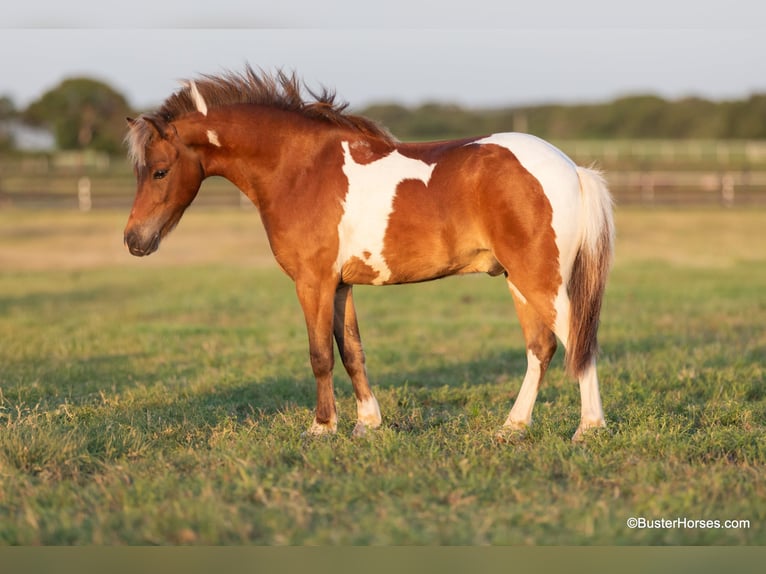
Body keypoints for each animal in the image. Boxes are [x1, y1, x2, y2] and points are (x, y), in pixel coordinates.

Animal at [124, 67, 614, 441]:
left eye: (159, 171)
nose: (133, 240)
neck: (300, 169)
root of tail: (572, 169)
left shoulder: (314, 282)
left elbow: (320, 354)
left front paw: (322, 428)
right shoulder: (341, 285)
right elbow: (352, 352)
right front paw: (367, 423)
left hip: (539, 279)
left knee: (577, 341)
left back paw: (588, 428)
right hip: (519, 280)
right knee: (541, 348)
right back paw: (512, 427)